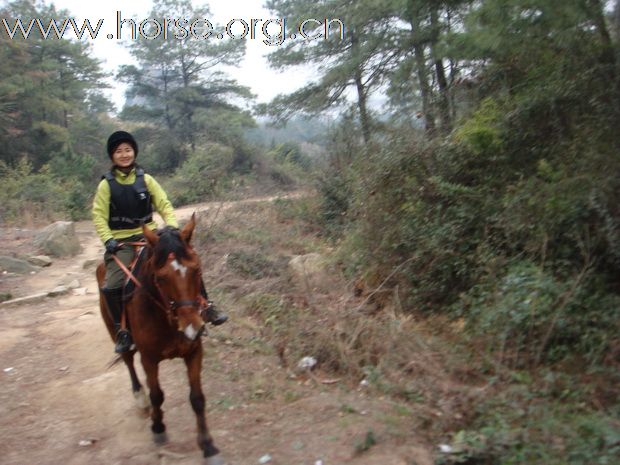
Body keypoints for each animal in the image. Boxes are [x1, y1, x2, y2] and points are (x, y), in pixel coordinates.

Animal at [95, 216, 224, 462]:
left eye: (197, 269)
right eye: (161, 278)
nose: (193, 327)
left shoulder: (194, 351)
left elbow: (197, 398)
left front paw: (208, 445)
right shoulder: (149, 359)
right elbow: (157, 395)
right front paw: (158, 428)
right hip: (116, 333)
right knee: (128, 362)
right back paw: (140, 398)